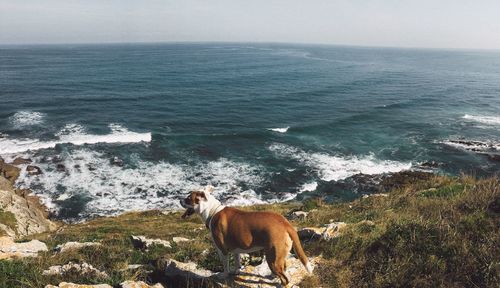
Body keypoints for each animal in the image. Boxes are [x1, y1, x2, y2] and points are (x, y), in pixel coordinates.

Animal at [180, 184, 312, 286]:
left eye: (188, 198)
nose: (179, 200)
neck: (212, 211)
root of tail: (285, 223)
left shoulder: (222, 250)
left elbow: (225, 265)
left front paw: (224, 275)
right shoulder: (236, 248)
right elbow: (237, 261)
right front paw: (237, 271)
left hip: (272, 257)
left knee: (284, 278)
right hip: (278, 255)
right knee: (284, 267)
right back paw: (273, 276)